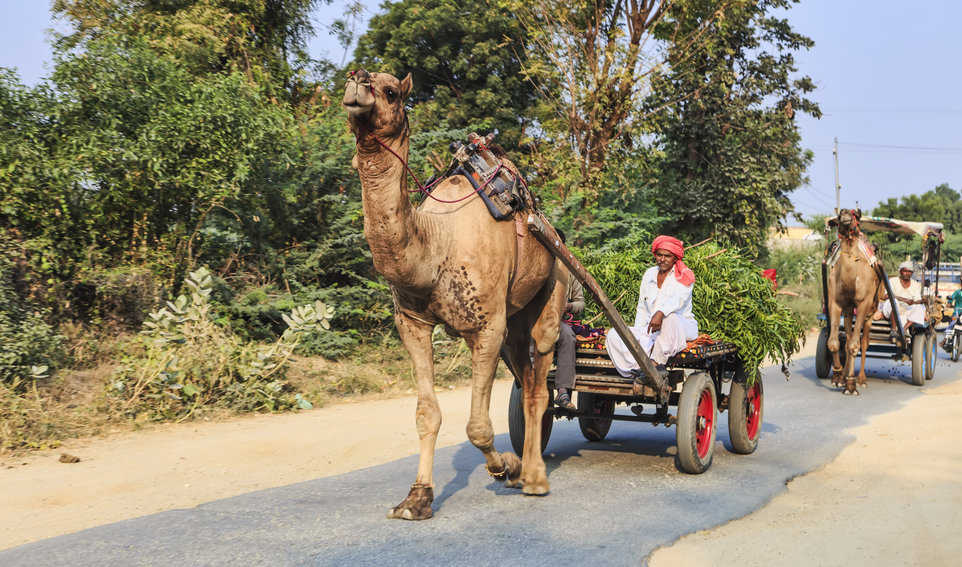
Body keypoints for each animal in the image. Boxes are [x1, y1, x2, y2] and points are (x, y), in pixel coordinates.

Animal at [340, 70, 564, 520]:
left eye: (391, 91)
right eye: (350, 79)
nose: (358, 81)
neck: (435, 244)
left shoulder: (486, 327)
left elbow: (477, 426)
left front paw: (508, 467)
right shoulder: (412, 324)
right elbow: (427, 414)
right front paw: (416, 499)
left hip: (554, 286)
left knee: (539, 378)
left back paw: (533, 477)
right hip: (514, 323)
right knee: (527, 377)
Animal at [820, 207, 880, 394]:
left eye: (857, 215)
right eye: (839, 215)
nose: (845, 213)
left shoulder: (863, 304)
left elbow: (855, 345)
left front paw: (851, 385)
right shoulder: (835, 302)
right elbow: (834, 343)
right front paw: (838, 377)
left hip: (871, 311)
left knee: (864, 342)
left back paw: (861, 379)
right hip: (847, 311)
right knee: (847, 337)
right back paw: (845, 375)